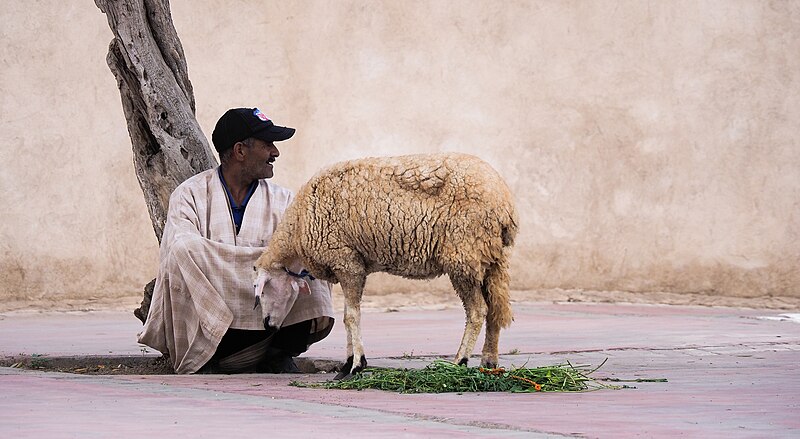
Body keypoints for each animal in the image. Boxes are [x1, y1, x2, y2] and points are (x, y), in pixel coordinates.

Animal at [253, 153, 520, 380]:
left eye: (262, 290)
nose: (268, 325)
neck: (298, 225)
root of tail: (504, 201)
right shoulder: (349, 265)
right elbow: (348, 315)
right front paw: (348, 364)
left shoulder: (347, 262)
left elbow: (351, 316)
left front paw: (356, 365)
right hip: (490, 258)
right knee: (494, 310)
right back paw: (489, 363)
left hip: (464, 254)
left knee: (477, 311)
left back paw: (459, 362)